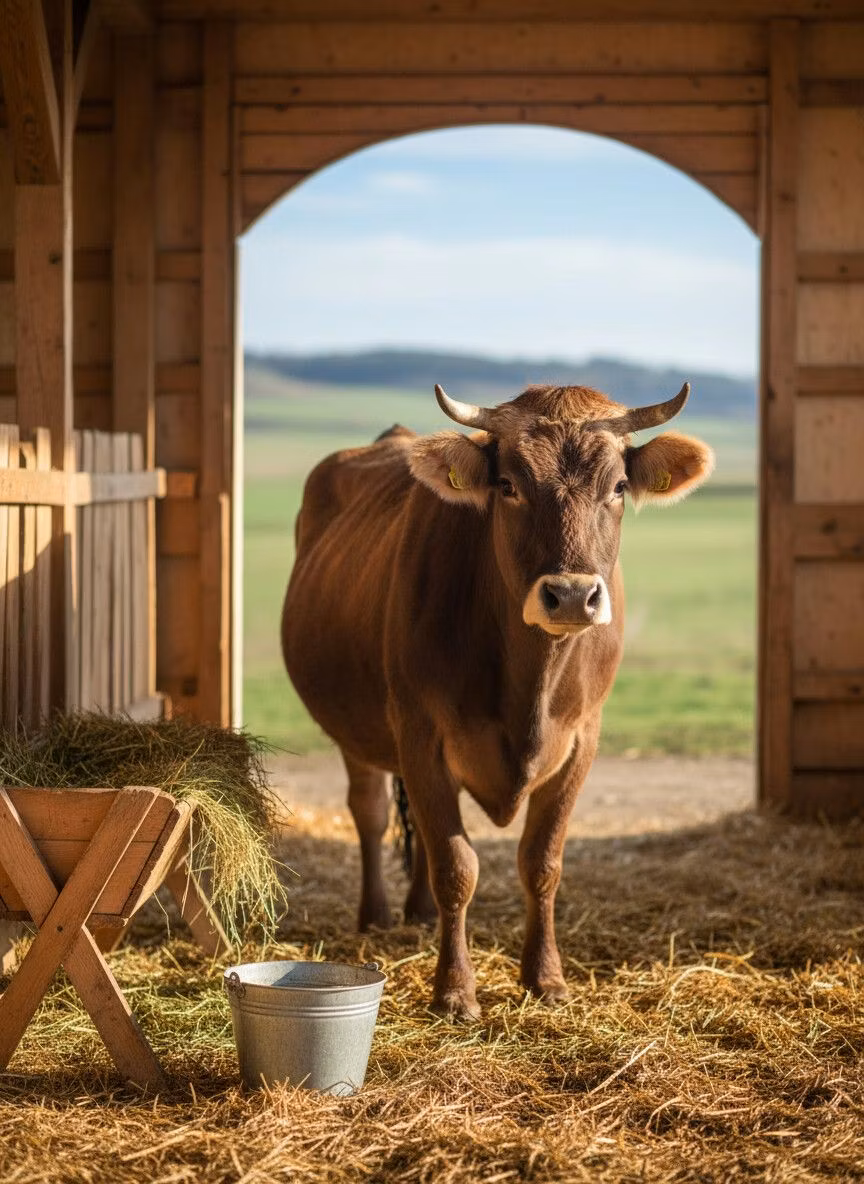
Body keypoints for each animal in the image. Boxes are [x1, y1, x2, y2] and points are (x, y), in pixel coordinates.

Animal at [281, 382, 714, 1018]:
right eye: (508, 485)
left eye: (617, 487)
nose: (571, 596)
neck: (529, 681)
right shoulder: (421, 735)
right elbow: (457, 866)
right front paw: (454, 991)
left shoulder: (582, 740)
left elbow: (541, 862)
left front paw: (546, 978)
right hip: (354, 730)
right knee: (371, 811)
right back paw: (377, 916)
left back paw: (420, 913)